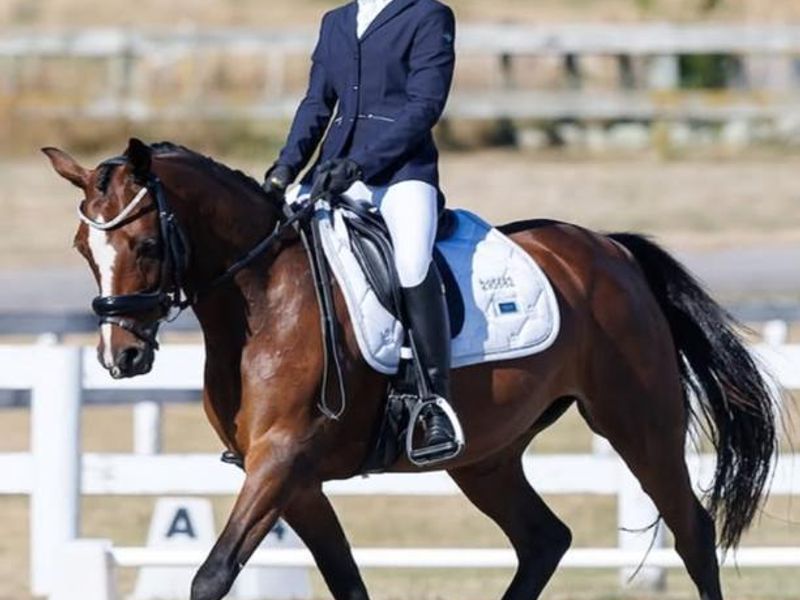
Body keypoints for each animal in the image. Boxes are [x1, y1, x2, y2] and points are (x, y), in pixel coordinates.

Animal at [44, 138, 777, 600]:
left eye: (144, 244)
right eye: (82, 246)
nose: (120, 357)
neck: (263, 300)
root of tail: (608, 250)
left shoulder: (282, 461)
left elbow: (212, 576)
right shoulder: (291, 478)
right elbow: (347, 580)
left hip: (637, 423)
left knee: (692, 532)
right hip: (486, 456)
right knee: (544, 539)